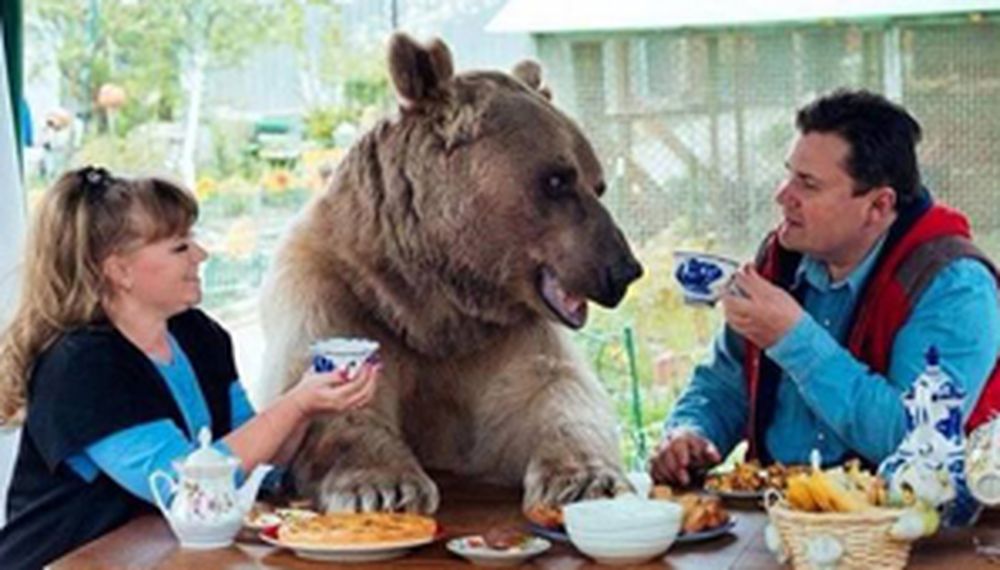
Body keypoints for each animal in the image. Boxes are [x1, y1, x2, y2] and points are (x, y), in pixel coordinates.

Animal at [257, 33, 644, 514]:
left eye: (598, 184)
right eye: (557, 180)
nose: (624, 269)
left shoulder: (503, 335)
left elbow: (553, 394)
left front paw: (588, 480)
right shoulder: (336, 292)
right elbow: (330, 396)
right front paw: (383, 487)